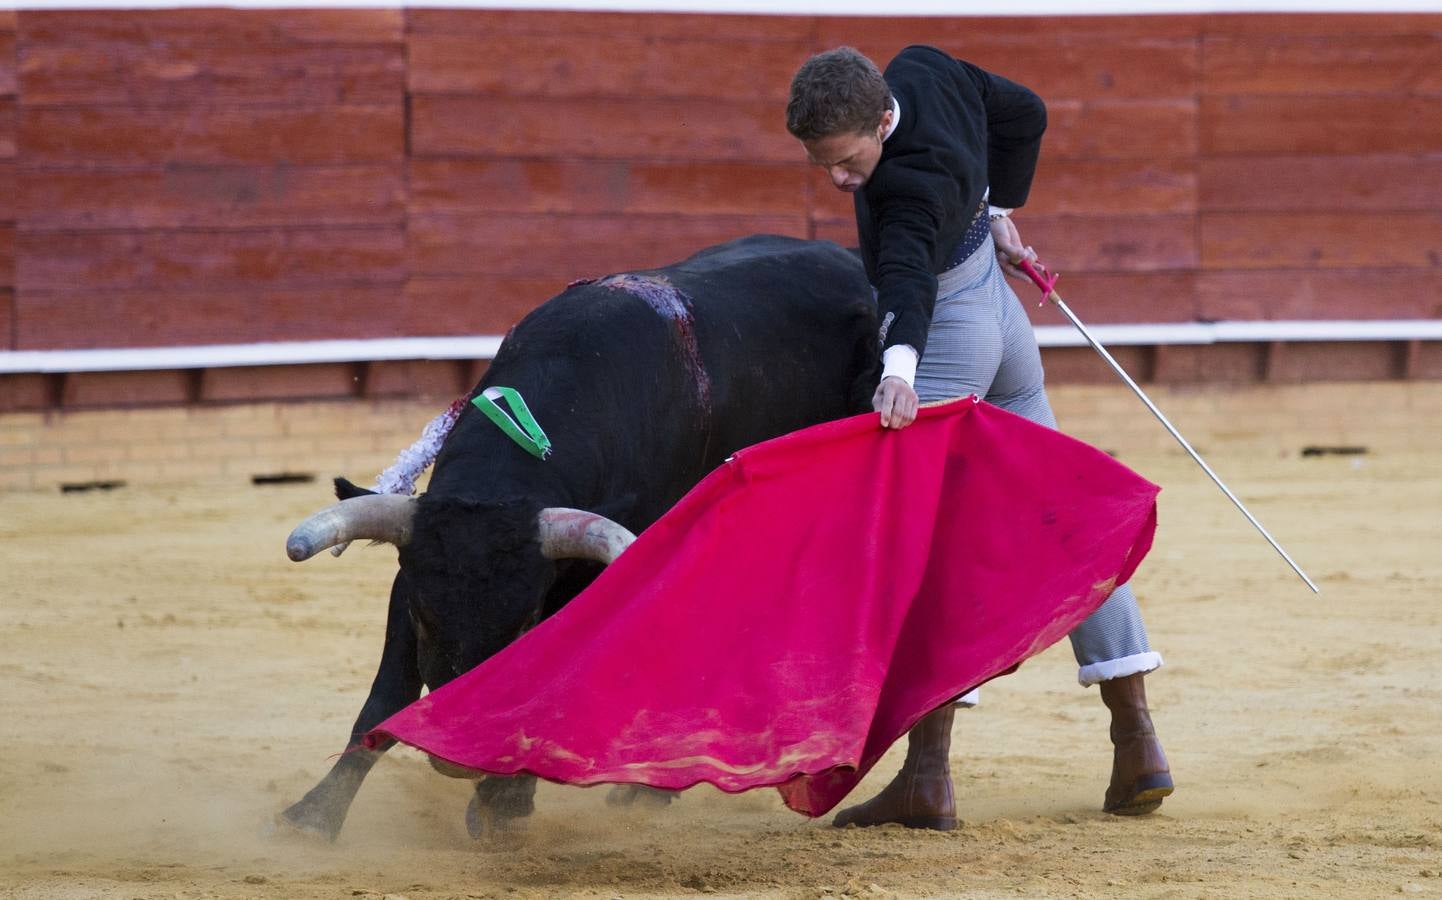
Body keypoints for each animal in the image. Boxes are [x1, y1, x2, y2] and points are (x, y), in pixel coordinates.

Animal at [276, 235, 870, 842]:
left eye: (523, 625)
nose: (451, 759)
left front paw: (503, 805)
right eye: (424, 615)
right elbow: (386, 694)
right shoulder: (410, 575)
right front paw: (314, 816)